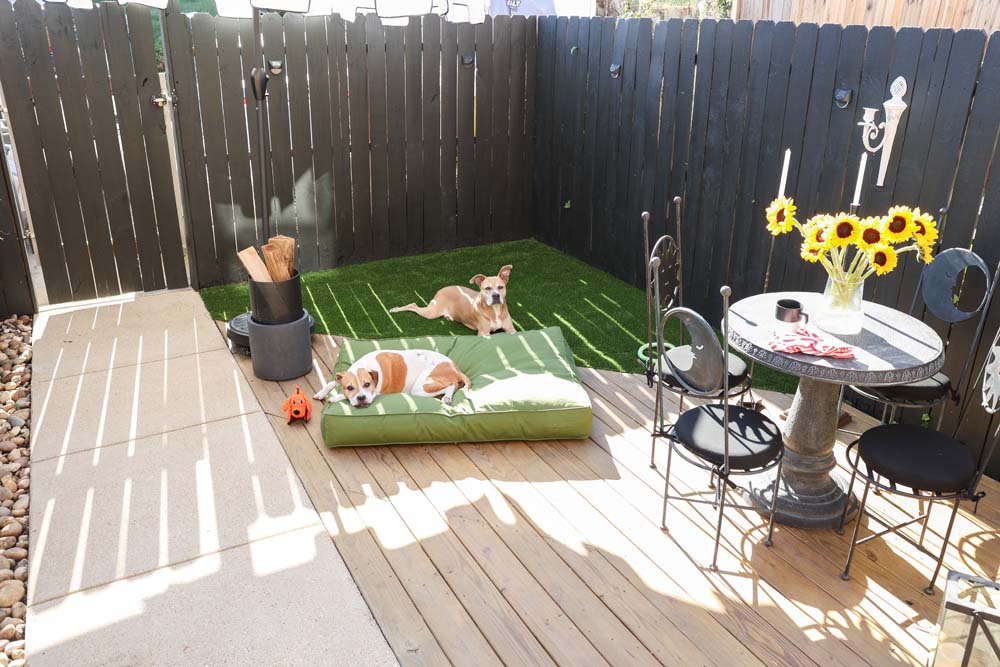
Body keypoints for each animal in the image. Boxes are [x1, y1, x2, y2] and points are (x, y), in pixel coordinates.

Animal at [312, 350, 472, 408]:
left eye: (367, 384)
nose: (361, 398)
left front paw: (335, 397)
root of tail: (454, 366)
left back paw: (447, 398)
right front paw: (321, 393)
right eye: (350, 387)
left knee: (451, 385)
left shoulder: (375, 393)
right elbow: (333, 381)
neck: (366, 366)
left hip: (421, 388)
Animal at [388, 264, 516, 336]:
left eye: (501, 287)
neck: (495, 311)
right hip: (431, 312)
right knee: (413, 305)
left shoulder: (511, 329)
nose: (496, 296)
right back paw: (395, 309)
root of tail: (442, 289)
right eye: (487, 288)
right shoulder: (483, 333)